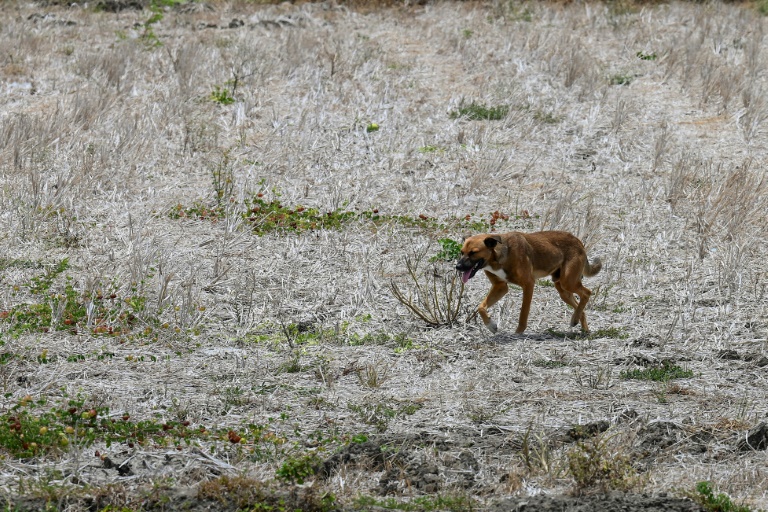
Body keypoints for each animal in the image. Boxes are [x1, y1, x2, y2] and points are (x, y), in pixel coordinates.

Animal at [456, 231, 600, 334]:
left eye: (473, 252)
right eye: (462, 252)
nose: (457, 267)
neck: (498, 257)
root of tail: (578, 242)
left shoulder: (528, 285)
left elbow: (523, 313)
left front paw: (518, 332)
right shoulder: (500, 287)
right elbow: (481, 307)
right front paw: (491, 325)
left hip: (568, 282)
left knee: (587, 293)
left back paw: (576, 320)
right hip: (563, 289)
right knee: (580, 305)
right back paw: (581, 326)